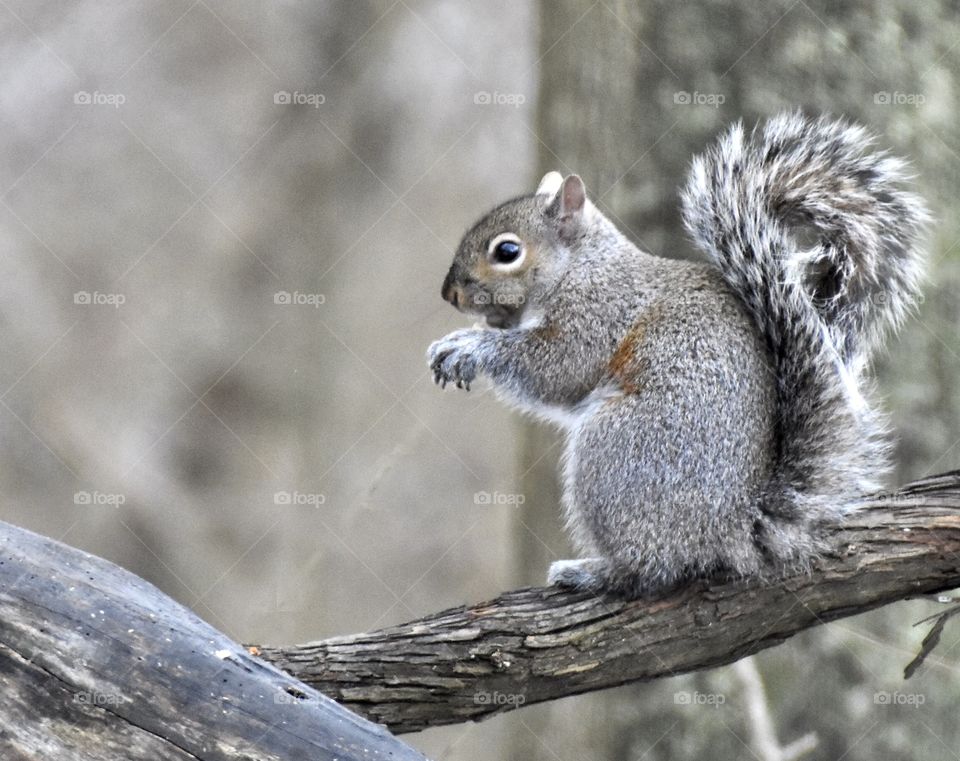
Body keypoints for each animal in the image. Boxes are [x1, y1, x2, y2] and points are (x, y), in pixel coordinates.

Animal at [427, 112, 929, 597]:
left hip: (614, 454)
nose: (449, 293)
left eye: (507, 251)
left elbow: (557, 370)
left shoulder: (597, 315)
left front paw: (469, 346)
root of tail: (730, 529)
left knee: (650, 569)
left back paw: (596, 573)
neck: (581, 267)